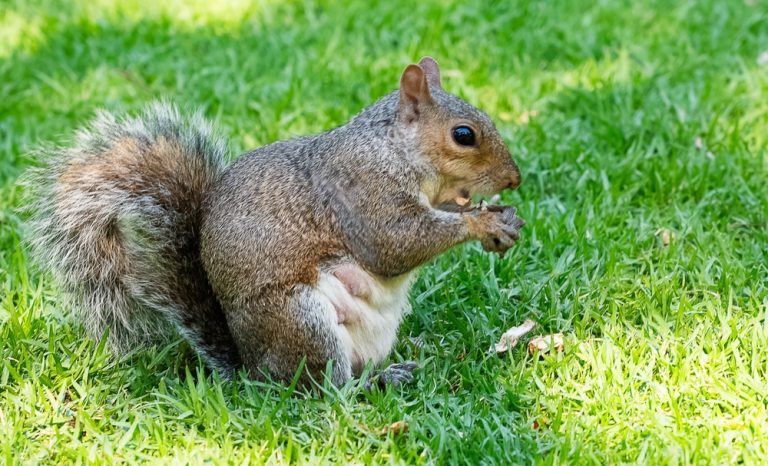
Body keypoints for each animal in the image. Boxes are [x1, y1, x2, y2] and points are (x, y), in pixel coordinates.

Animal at [24, 57, 524, 388]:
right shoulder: (364, 192)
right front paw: (482, 224)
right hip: (301, 321)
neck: (393, 148)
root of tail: (252, 367)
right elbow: (394, 245)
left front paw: (496, 216)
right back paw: (375, 383)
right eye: (463, 135)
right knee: (326, 389)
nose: (514, 179)